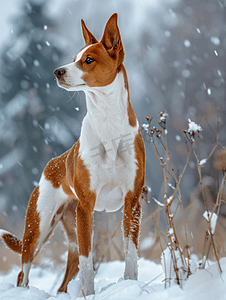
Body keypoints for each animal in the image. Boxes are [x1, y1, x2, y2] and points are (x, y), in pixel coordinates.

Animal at [0, 13, 145, 296]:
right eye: (75, 56)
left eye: (88, 59)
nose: (57, 71)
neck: (108, 123)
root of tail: (50, 166)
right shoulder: (86, 206)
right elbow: (89, 263)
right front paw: (89, 295)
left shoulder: (132, 202)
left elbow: (131, 255)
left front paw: (131, 286)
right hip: (39, 228)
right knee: (24, 272)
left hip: (69, 229)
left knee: (63, 283)